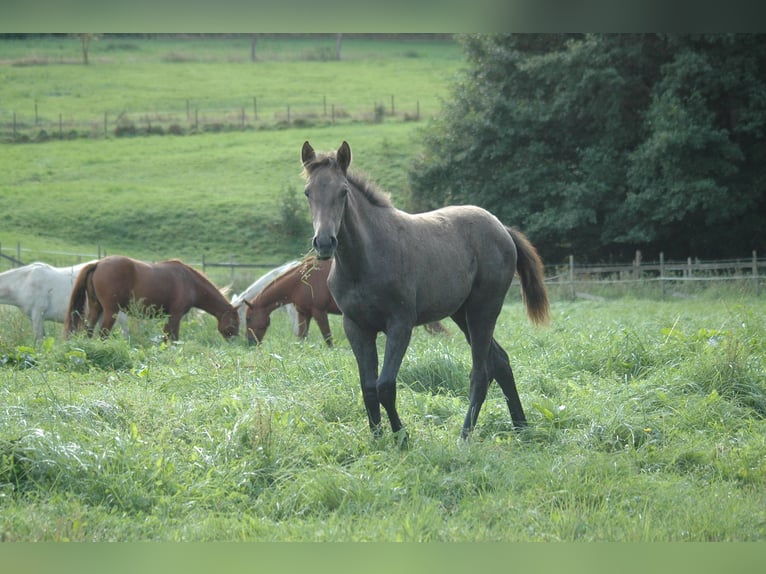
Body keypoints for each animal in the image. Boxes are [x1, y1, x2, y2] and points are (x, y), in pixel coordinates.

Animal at [64, 255, 239, 341]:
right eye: (235, 322)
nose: (235, 341)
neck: (189, 281)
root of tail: (98, 263)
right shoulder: (175, 315)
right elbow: (172, 337)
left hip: (96, 308)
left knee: (89, 329)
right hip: (110, 311)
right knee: (103, 333)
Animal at [244, 256, 450, 346]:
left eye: (248, 319)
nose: (250, 342)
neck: (300, 281)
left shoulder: (319, 312)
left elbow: (328, 339)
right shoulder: (304, 314)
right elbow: (302, 337)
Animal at [301, 141, 550, 440]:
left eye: (343, 191)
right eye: (308, 192)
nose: (325, 242)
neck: (364, 261)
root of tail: (502, 228)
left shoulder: (400, 324)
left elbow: (385, 385)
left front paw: (402, 438)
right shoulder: (356, 327)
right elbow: (368, 388)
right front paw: (377, 439)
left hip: (484, 309)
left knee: (481, 372)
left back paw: (465, 436)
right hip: (462, 313)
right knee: (500, 362)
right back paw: (521, 427)